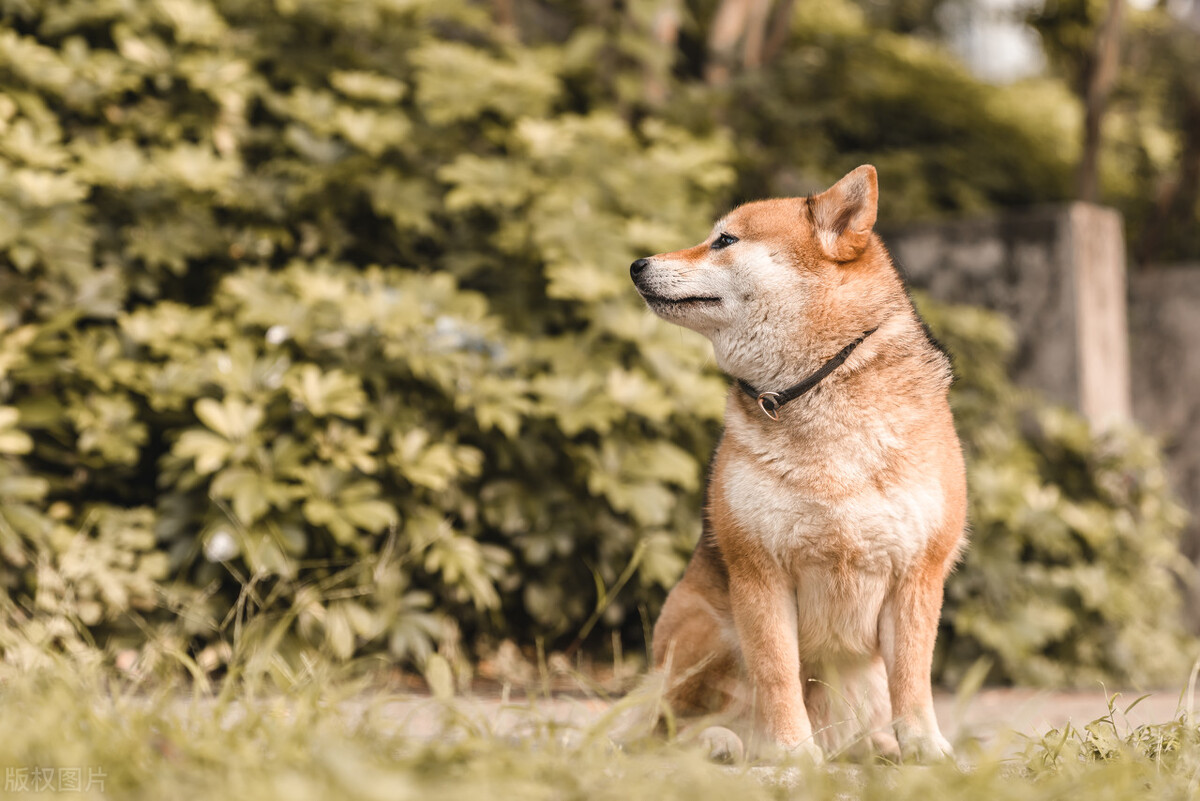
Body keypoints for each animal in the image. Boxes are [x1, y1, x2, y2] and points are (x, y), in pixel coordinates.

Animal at [628, 164, 964, 762]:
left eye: (724, 241)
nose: (637, 264)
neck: (817, 386)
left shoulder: (917, 576)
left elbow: (912, 680)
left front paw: (926, 748)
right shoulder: (758, 574)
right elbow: (777, 675)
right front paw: (788, 756)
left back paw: (877, 746)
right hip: (704, 633)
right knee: (666, 731)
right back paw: (726, 744)